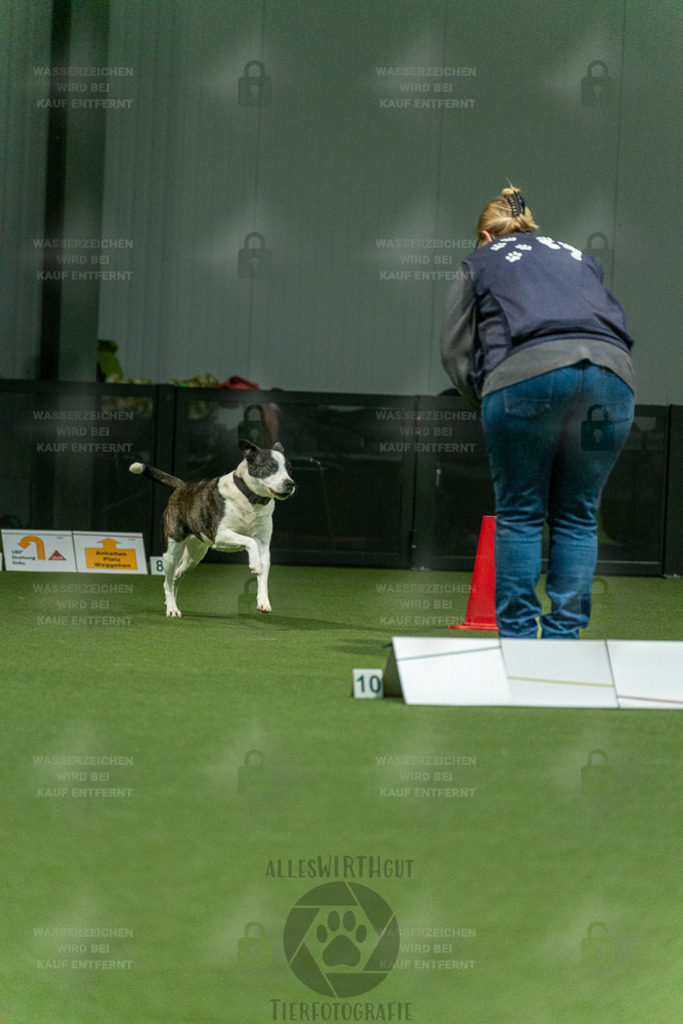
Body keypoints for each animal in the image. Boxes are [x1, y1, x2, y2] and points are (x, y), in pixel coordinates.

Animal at [129, 440, 294, 614]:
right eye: (271, 467)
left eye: (290, 469)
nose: (290, 483)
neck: (249, 500)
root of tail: (181, 486)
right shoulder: (220, 535)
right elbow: (250, 541)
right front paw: (254, 564)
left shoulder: (263, 545)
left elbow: (263, 574)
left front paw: (263, 601)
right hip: (171, 552)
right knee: (168, 580)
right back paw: (172, 609)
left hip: (194, 556)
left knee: (176, 576)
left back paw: (170, 602)